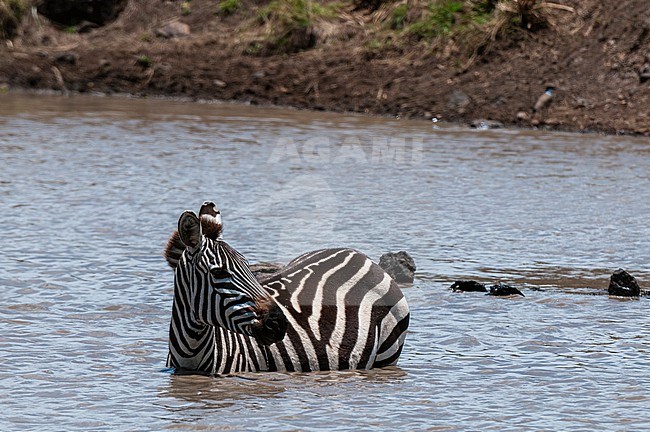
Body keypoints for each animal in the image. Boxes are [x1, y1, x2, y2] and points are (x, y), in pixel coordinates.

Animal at [165, 202, 408, 374]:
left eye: (249, 267)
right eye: (218, 273)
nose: (279, 323)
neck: (192, 352)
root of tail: (360, 255)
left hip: (386, 354)